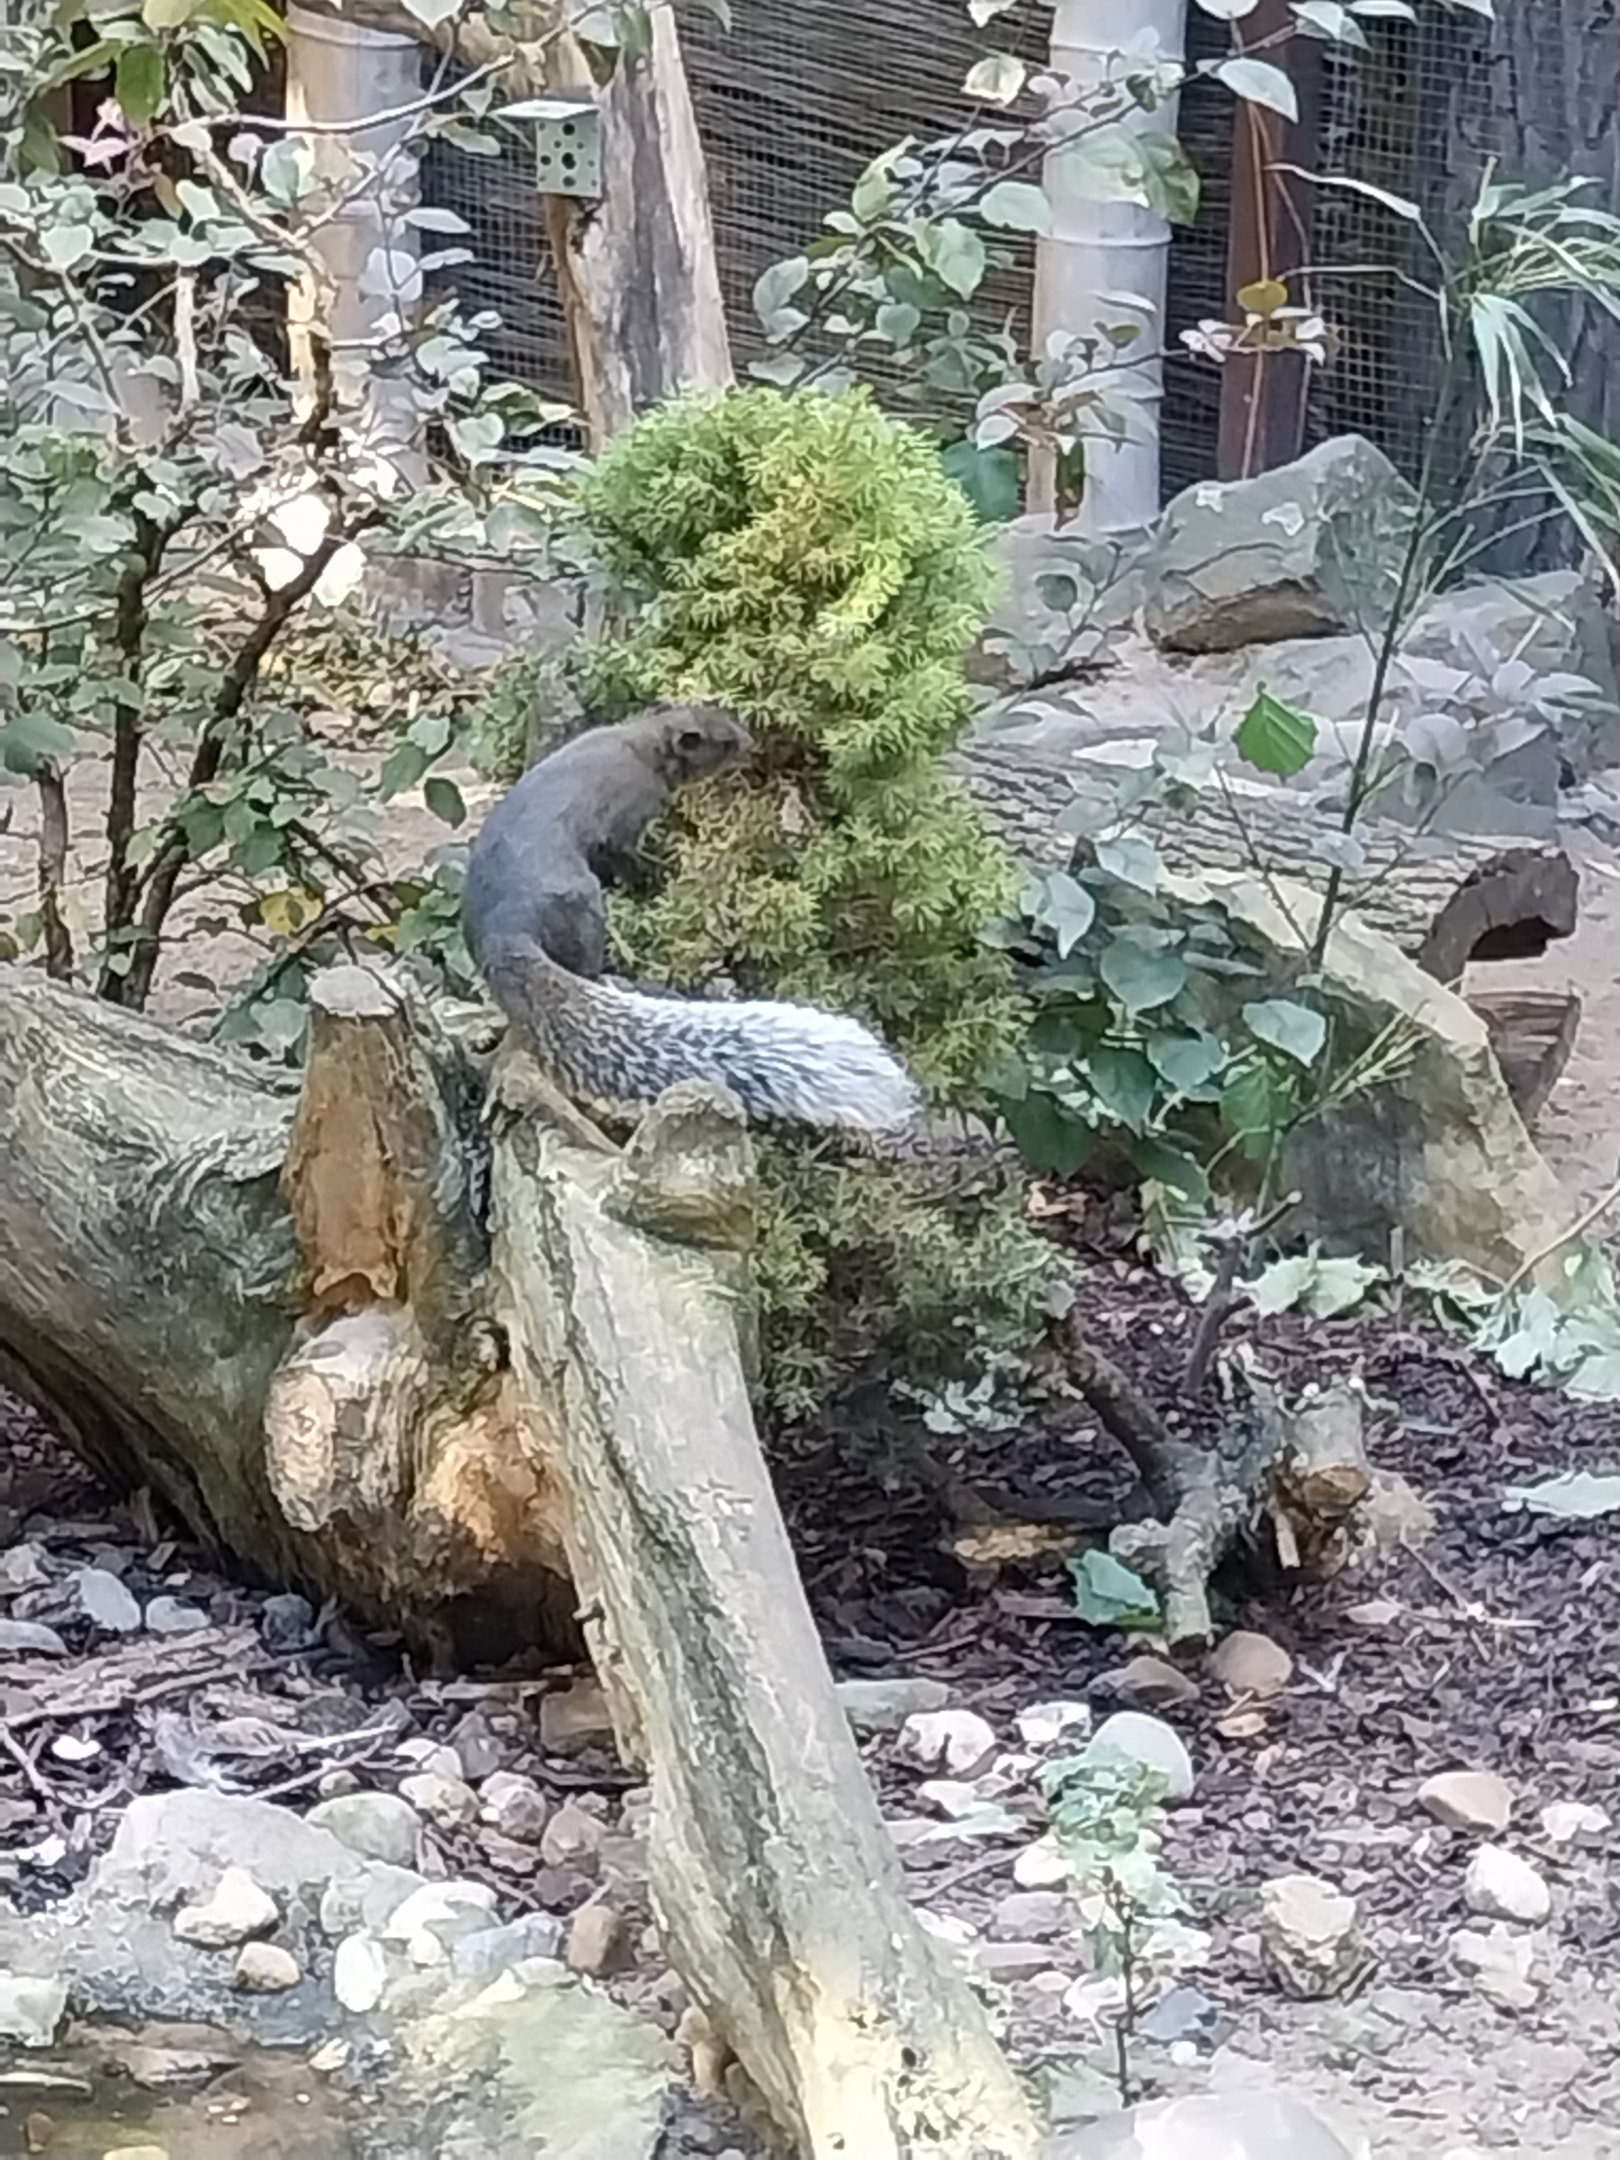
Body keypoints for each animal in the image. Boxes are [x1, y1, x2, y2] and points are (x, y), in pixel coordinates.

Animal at [461, 704, 922, 1133]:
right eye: (724, 742)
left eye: (730, 717)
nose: (752, 743)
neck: (643, 745)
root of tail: (501, 938)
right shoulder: (627, 824)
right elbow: (632, 857)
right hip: (586, 909)